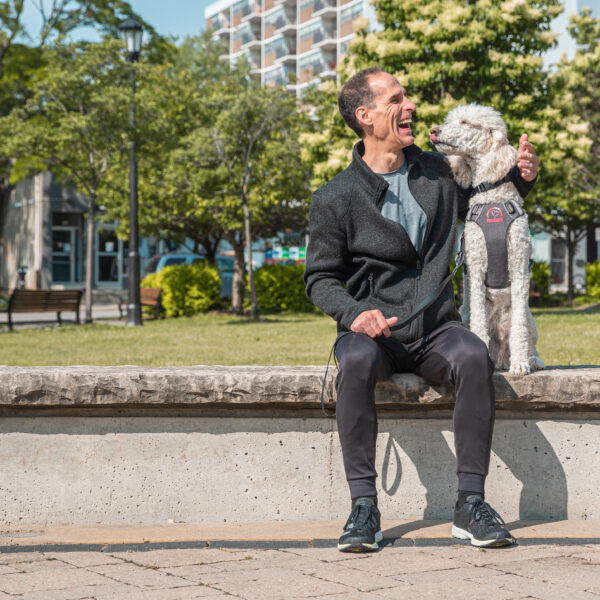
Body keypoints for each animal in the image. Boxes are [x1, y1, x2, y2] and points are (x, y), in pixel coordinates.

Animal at [432, 103, 544, 376]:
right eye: (451, 120)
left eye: (466, 123)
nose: (434, 130)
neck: (492, 198)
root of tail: (501, 355)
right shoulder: (475, 268)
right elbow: (479, 325)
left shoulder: (519, 265)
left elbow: (519, 329)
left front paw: (520, 365)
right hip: (465, 313)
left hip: (529, 317)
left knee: (527, 338)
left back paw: (530, 360)